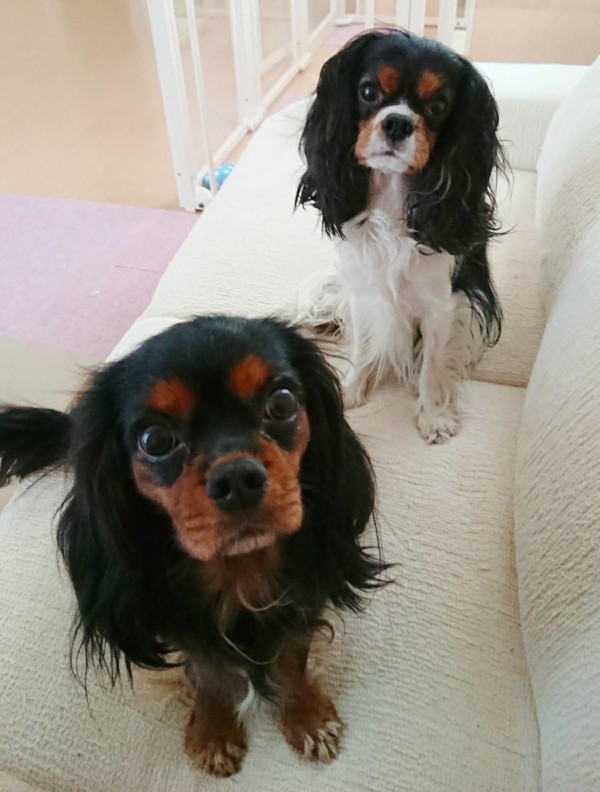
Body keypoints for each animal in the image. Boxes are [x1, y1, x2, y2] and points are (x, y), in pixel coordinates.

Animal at [0, 315, 385, 776]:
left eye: (282, 402)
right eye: (154, 440)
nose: (236, 479)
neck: (240, 567)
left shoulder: (303, 601)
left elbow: (292, 660)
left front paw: (307, 717)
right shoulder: (185, 626)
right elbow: (209, 675)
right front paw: (214, 733)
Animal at [295, 29, 505, 443]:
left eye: (438, 105)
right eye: (368, 92)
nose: (397, 123)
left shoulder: (442, 305)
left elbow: (433, 364)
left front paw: (433, 415)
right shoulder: (361, 291)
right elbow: (361, 346)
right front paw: (352, 388)